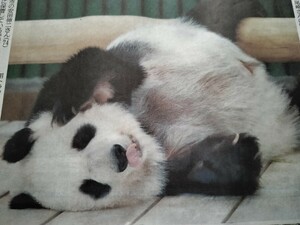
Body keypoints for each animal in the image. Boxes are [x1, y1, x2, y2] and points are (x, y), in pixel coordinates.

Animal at [1, 18, 298, 211]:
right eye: (93, 187)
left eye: (82, 137)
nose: (120, 156)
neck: (150, 131)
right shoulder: (168, 175)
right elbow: (195, 173)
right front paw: (236, 154)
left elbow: (102, 66)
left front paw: (72, 105)